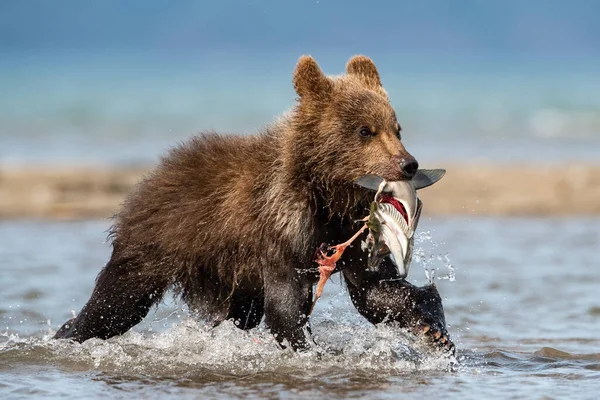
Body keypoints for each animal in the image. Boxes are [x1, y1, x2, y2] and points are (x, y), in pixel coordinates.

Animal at [52, 54, 454, 354]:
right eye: (364, 130)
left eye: (396, 128)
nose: (408, 163)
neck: (328, 193)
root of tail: (154, 173)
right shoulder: (282, 229)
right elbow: (286, 305)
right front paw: (312, 349)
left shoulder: (354, 233)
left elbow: (376, 290)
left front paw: (434, 331)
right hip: (157, 241)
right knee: (116, 302)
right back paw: (67, 333)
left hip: (231, 275)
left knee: (236, 314)